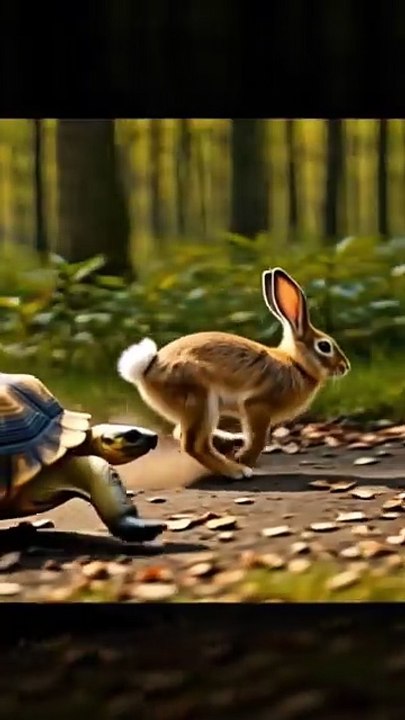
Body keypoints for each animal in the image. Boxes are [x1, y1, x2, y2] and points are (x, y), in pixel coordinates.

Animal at [117, 267, 350, 480]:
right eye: (324, 346)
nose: (345, 366)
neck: (296, 364)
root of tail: (146, 368)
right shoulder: (256, 406)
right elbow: (259, 439)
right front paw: (245, 459)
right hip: (201, 398)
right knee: (193, 445)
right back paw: (236, 470)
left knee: (182, 434)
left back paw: (231, 441)